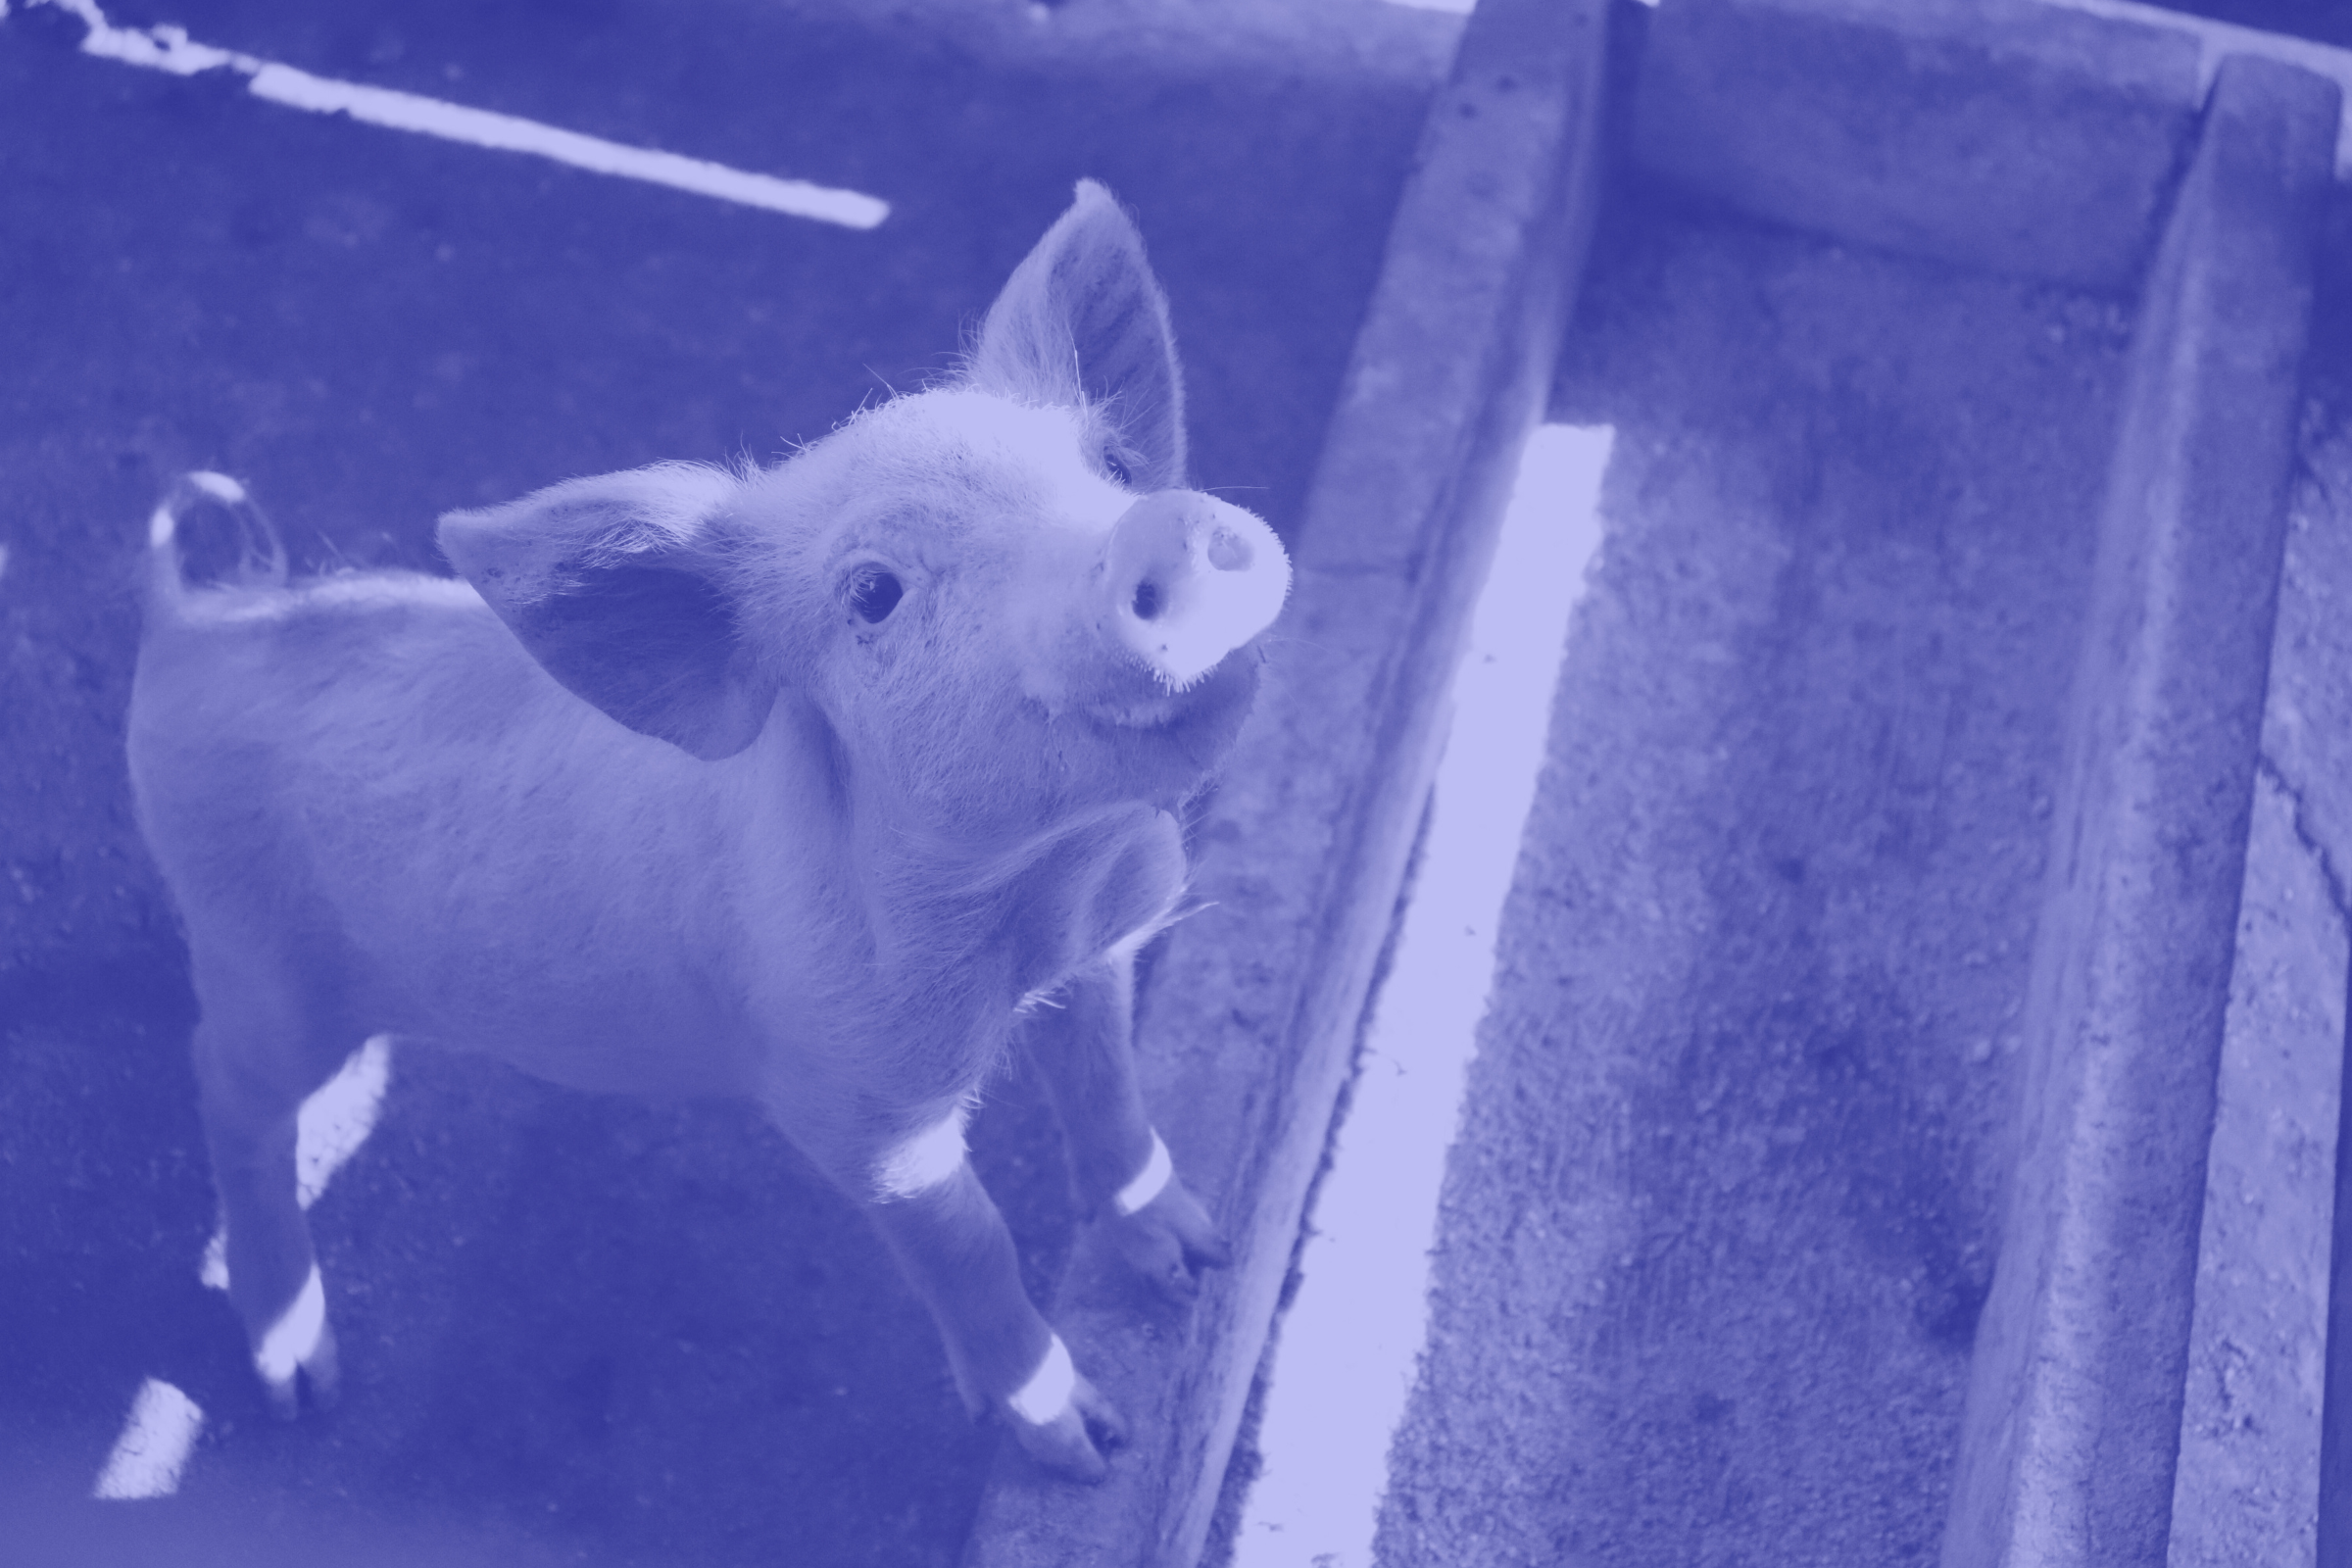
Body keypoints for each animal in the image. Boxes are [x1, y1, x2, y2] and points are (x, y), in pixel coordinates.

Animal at [124, 180, 1290, 1483]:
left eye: (1113, 463)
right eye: (872, 594)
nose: (1160, 527)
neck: (1035, 905)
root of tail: (189, 630)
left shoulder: (1098, 959)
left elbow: (1110, 1095)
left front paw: (1201, 1261)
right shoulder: (851, 1102)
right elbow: (973, 1241)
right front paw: (1089, 1446)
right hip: (262, 963)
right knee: (227, 1087)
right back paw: (301, 1385)